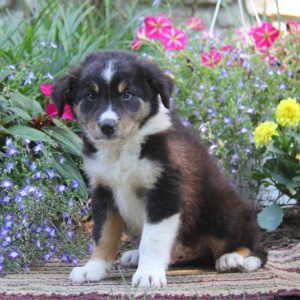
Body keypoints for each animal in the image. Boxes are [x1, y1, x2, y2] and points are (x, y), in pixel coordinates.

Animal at [52, 49, 266, 288]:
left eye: (127, 95)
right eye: (91, 96)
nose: (107, 126)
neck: (122, 148)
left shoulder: (164, 191)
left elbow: (153, 239)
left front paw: (148, 274)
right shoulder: (103, 192)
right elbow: (103, 234)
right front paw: (94, 268)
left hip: (219, 208)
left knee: (255, 247)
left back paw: (234, 258)